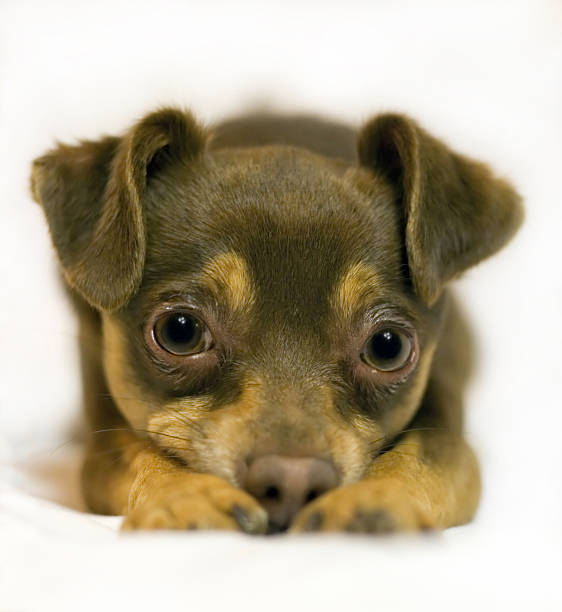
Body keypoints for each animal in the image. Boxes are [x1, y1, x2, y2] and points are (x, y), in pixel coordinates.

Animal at [30, 107, 520, 532]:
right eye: (179, 332)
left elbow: (424, 455)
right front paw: (184, 496)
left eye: (388, 346)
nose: (291, 481)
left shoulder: (446, 421)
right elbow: (131, 450)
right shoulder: (102, 427)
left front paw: (374, 501)